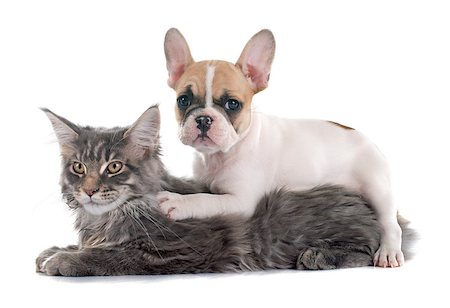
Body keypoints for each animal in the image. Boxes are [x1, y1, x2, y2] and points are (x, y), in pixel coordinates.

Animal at [35, 106, 414, 276]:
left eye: (114, 167)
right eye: (78, 168)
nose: (88, 191)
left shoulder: (179, 251)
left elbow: (114, 257)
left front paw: (65, 260)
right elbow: (94, 247)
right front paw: (57, 249)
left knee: (375, 244)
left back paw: (329, 255)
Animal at [159, 28, 404, 268]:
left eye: (232, 104)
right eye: (183, 100)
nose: (203, 119)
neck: (221, 155)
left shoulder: (241, 201)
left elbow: (205, 199)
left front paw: (177, 202)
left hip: (376, 188)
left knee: (391, 224)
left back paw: (388, 252)